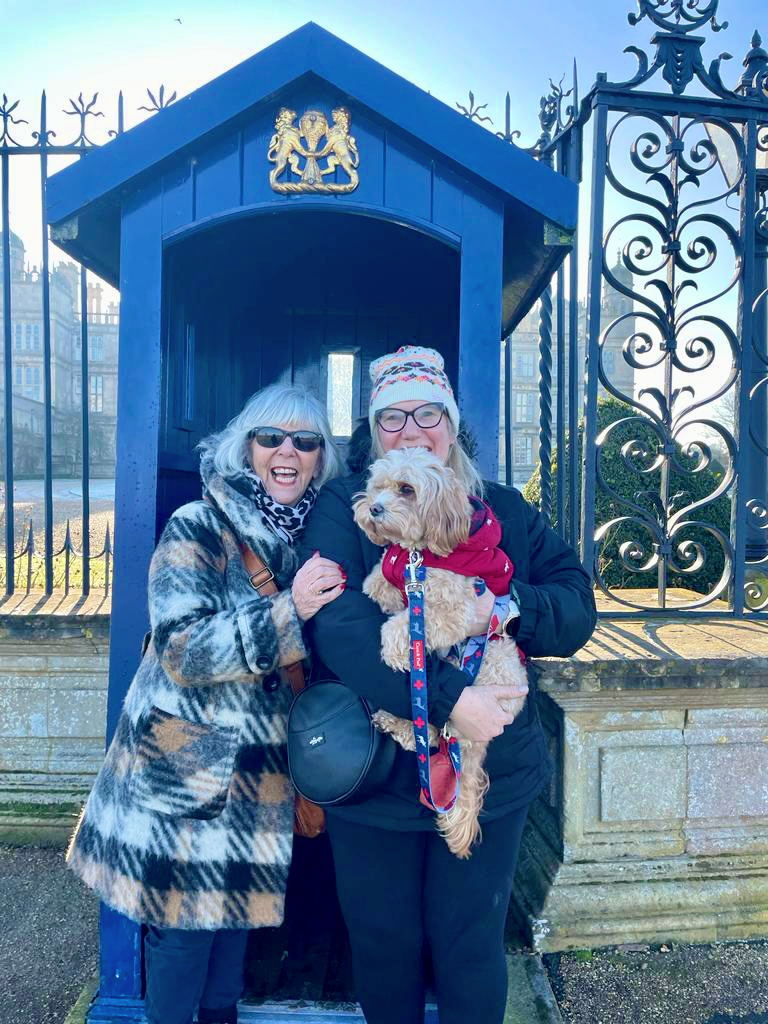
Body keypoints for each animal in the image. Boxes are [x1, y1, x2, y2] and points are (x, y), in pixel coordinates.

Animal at [354, 448, 528, 856]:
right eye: (377, 486)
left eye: (406, 489)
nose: (373, 509)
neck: (423, 553)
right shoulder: (395, 575)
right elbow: (378, 583)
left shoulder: (452, 611)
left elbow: (404, 625)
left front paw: (394, 649)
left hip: (489, 664)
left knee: (437, 733)